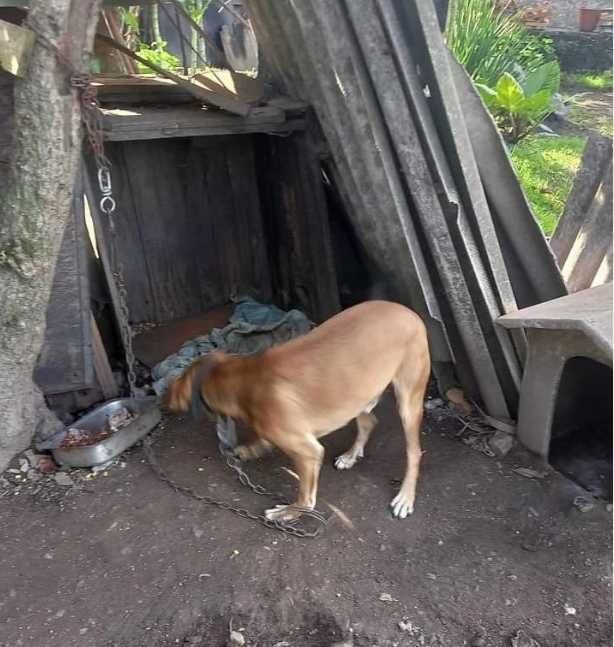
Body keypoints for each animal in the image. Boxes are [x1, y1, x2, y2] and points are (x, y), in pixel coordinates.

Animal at [165, 302, 434, 520]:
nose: (165, 401)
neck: (246, 380)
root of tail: (411, 313)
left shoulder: (309, 452)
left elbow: (306, 499)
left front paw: (288, 512)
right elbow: (262, 440)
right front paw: (251, 449)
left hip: (407, 402)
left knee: (413, 453)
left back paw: (405, 497)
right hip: (355, 390)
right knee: (369, 422)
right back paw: (350, 455)